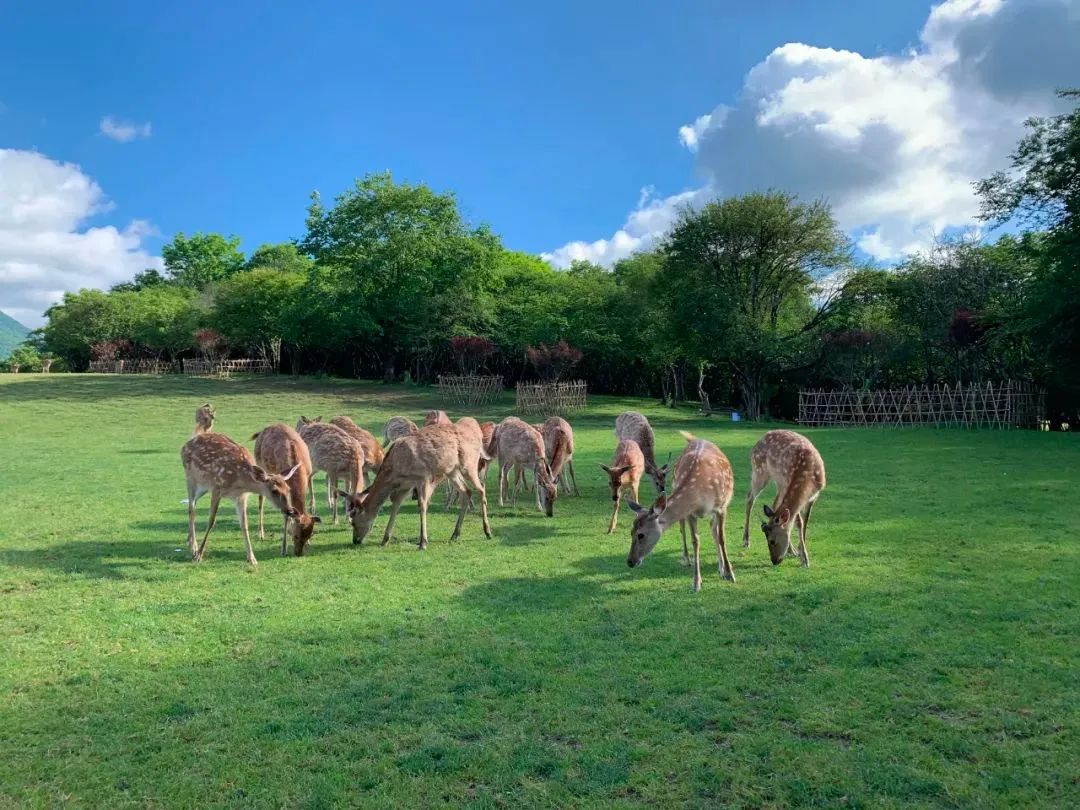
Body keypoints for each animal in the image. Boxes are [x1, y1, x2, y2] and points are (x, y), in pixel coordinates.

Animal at [180, 432, 301, 566]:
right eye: (274, 491)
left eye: (288, 489)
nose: (290, 510)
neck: (240, 480)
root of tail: (185, 445)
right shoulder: (217, 488)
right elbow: (211, 521)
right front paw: (198, 556)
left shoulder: (241, 497)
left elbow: (244, 524)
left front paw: (252, 558)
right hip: (190, 477)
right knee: (191, 509)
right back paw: (193, 547)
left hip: (203, 487)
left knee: (192, 504)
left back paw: (189, 541)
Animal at [252, 424, 321, 556]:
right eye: (296, 535)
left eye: (309, 535)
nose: (298, 553)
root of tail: (261, 431)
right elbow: (286, 514)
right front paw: (283, 549)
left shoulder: (307, 477)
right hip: (261, 465)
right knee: (260, 500)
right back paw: (261, 534)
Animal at [340, 422, 492, 549]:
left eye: (353, 521)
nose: (355, 540)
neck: (396, 470)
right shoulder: (406, 485)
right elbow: (396, 505)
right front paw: (385, 540)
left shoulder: (423, 477)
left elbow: (422, 505)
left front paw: (423, 542)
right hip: (451, 471)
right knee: (467, 492)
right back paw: (455, 534)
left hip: (469, 464)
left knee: (481, 488)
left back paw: (487, 532)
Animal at [626, 431, 735, 592]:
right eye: (631, 532)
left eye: (641, 535)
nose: (630, 561)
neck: (700, 493)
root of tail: (695, 439)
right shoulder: (690, 512)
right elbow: (695, 541)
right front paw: (696, 582)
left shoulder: (721, 507)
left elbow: (722, 538)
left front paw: (729, 574)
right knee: (684, 527)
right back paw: (687, 558)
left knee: (714, 530)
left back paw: (721, 568)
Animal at [742, 430, 826, 568]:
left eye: (772, 541)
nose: (774, 560)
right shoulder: (788, 483)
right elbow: (798, 521)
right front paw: (804, 559)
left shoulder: (813, 496)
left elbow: (805, 521)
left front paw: (801, 551)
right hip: (759, 471)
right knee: (750, 497)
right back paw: (746, 541)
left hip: (778, 483)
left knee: (774, 504)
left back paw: (792, 550)